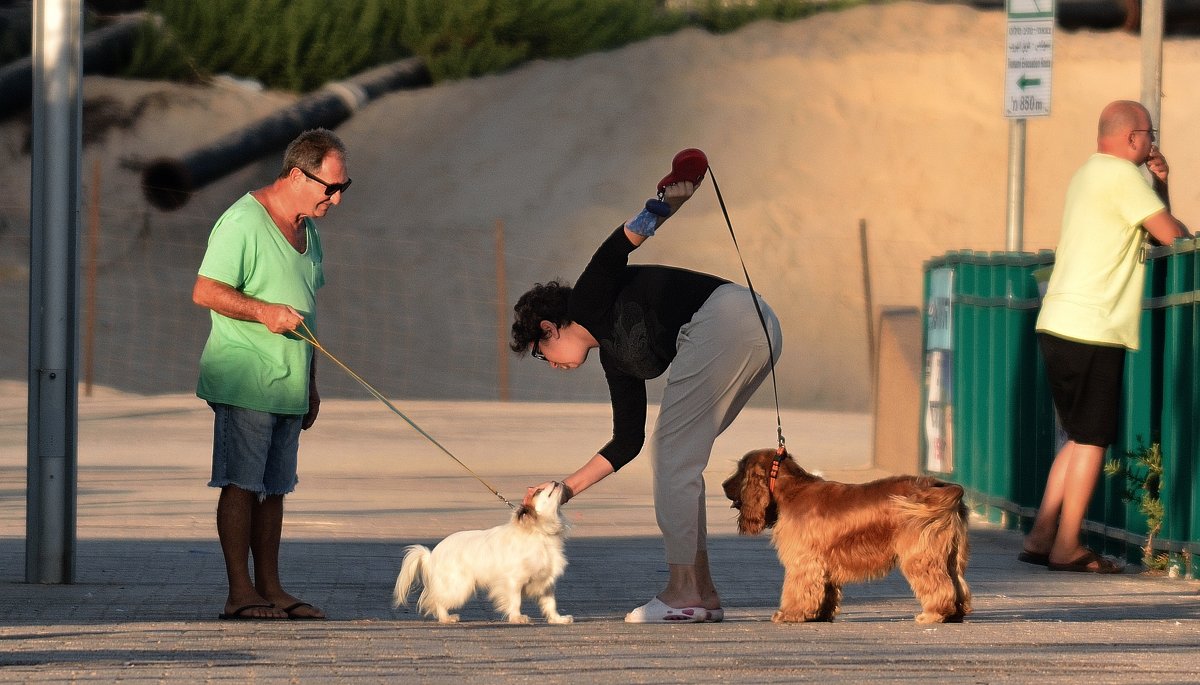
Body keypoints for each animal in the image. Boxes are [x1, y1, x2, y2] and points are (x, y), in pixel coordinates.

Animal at [391, 482, 573, 623]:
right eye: (538, 491)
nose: (555, 481)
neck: (539, 533)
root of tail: (432, 555)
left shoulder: (546, 582)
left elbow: (550, 603)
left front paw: (557, 619)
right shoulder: (513, 580)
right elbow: (515, 601)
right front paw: (517, 618)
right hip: (459, 586)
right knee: (437, 600)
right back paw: (446, 618)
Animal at [715, 448, 969, 623]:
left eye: (741, 470)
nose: (723, 484)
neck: (792, 491)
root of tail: (941, 487)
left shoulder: (804, 560)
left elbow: (797, 588)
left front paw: (789, 614)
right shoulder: (823, 562)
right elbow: (825, 592)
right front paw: (819, 614)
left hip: (919, 555)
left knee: (939, 585)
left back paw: (933, 615)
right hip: (951, 555)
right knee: (957, 584)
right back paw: (956, 613)